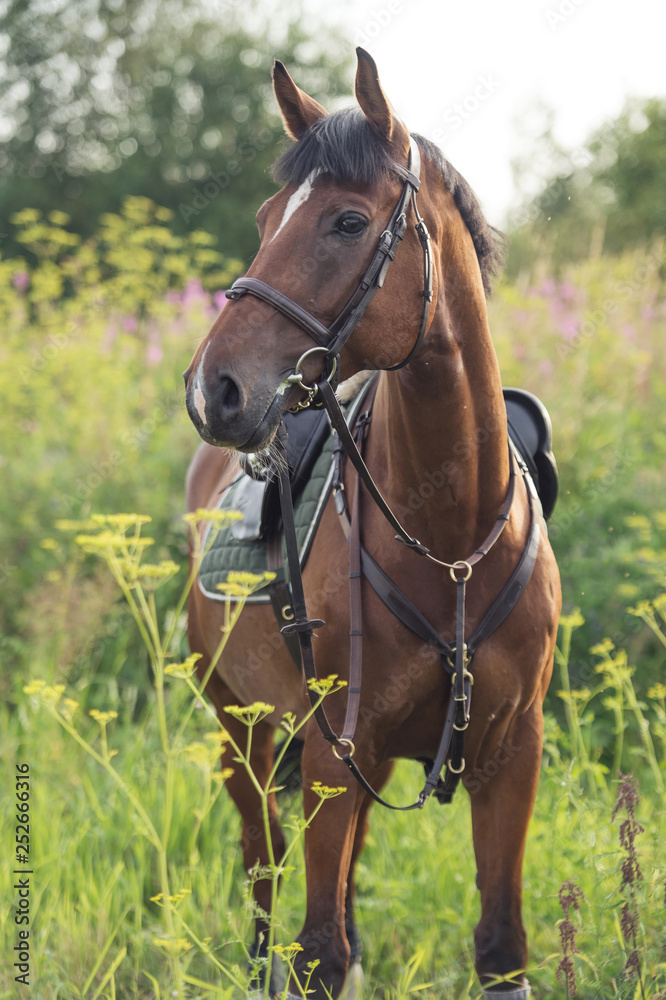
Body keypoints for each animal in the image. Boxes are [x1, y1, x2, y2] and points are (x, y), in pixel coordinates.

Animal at [183, 48, 561, 999]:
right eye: (266, 218)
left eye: (347, 222)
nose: (213, 389)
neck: (452, 542)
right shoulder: (330, 755)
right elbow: (318, 951)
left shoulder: (511, 756)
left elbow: (500, 948)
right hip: (240, 735)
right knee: (265, 876)